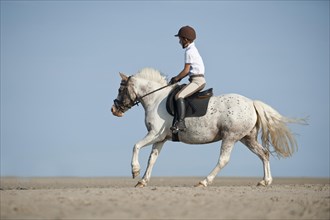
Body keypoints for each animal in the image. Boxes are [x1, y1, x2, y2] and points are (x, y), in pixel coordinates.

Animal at [111, 67, 306, 187]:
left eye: (120, 90)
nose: (114, 110)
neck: (156, 98)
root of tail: (251, 103)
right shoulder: (161, 138)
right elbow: (152, 159)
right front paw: (143, 181)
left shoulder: (154, 134)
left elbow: (135, 146)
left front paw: (135, 171)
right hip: (246, 138)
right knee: (264, 154)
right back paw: (265, 181)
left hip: (230, 137)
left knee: (223, 160)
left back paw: (204, 181)